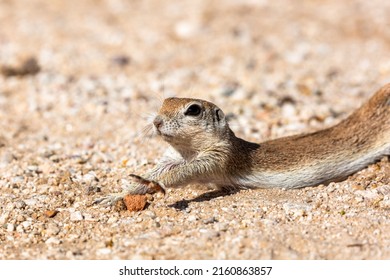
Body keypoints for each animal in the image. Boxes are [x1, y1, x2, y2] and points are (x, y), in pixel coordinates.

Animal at [94, 84, 390, 205]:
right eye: (166, 101)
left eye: (193, 110)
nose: (156, 121)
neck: (187, 150)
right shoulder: (170, 158)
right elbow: (148, 176)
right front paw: (113, 196)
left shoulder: (216, 158)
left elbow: (184, 173)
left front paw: (154, 184)